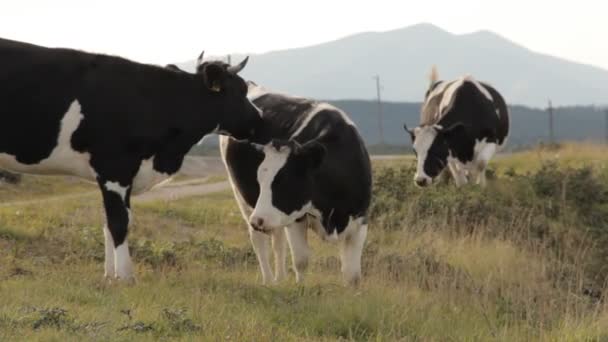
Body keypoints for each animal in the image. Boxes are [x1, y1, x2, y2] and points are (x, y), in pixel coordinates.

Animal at [0, 38, 262, 282]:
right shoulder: (115, 169)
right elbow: (119, 222)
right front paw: (126, 277)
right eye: (239, 91)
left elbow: (109, 222)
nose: (260, 119)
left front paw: (110, 276)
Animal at [218, 83, 370, 286]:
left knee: (277, 242)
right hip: (244, 200)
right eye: (260, 180)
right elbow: (301, 261)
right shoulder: (296, 219)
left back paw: (280, 279)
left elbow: (352, 274)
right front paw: (301, 288)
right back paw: (269, 281)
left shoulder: (360, 220)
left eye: (285, 181)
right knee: (259, 242)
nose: (258, 220)